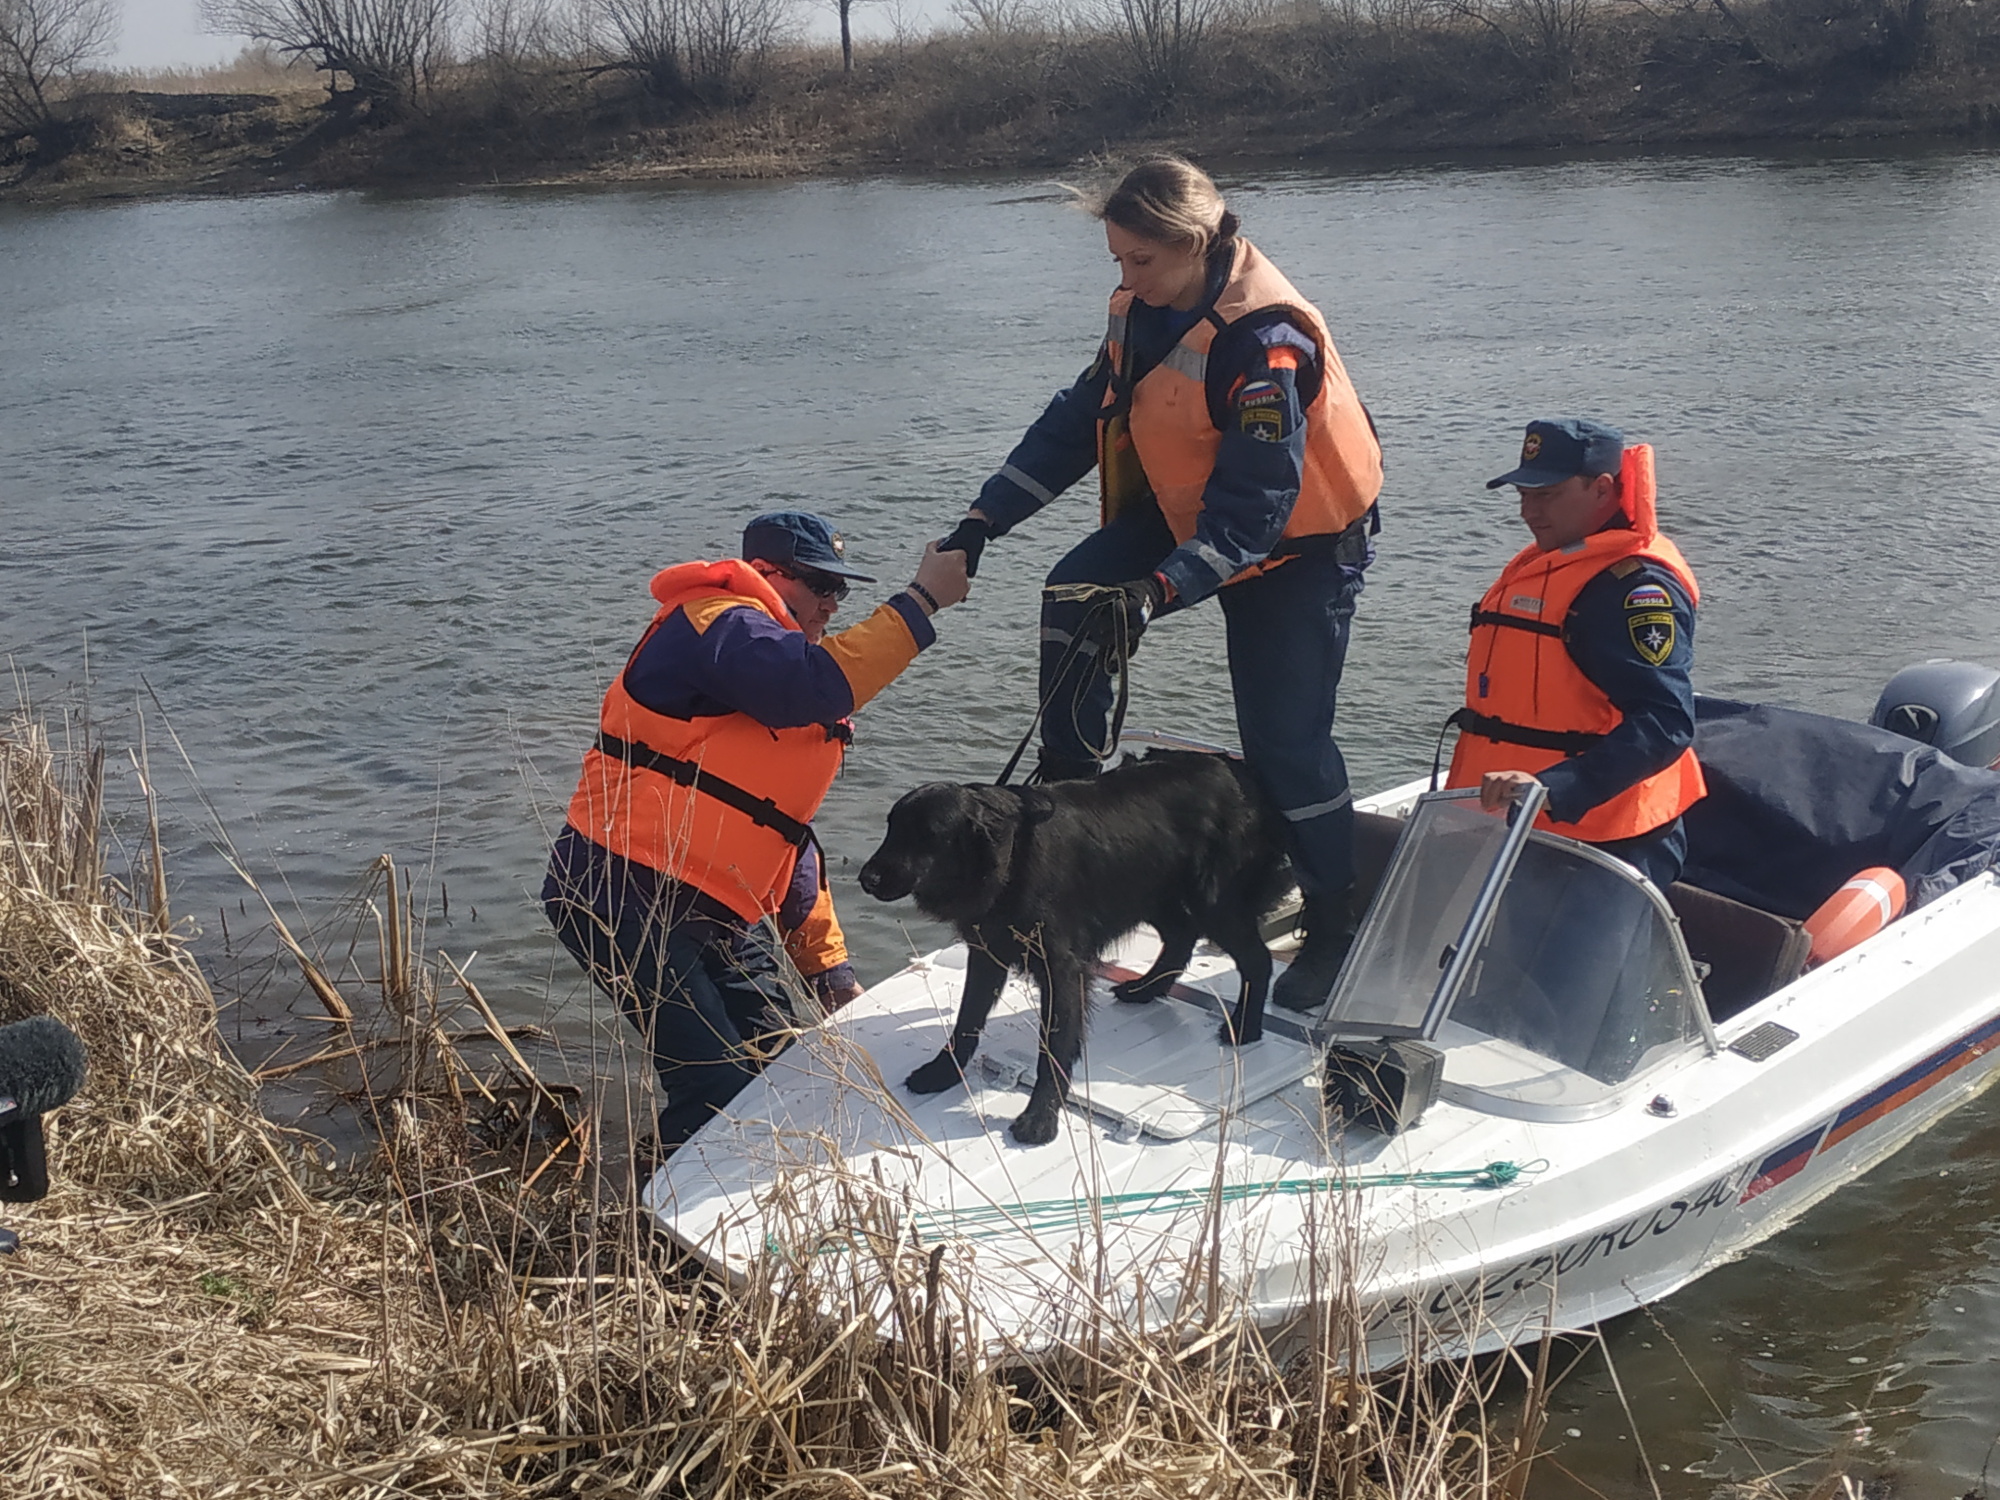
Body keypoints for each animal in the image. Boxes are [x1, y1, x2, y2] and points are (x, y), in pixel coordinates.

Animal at [852, 752, 1288, 1152]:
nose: (866, 879)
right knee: (1181, 937)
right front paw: (942, 1072)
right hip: (1151, 892)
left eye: (926, 834)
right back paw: (1144, 989)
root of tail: (1244, 773)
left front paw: (1040, 1118)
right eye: (892, 829)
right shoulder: (987, 950)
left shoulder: (1061, 968)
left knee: (1256, 958)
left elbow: (1054, 1047)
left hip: (1212, 901)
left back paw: (1244, 1028)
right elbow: (966, 1021)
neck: (1011, 858)